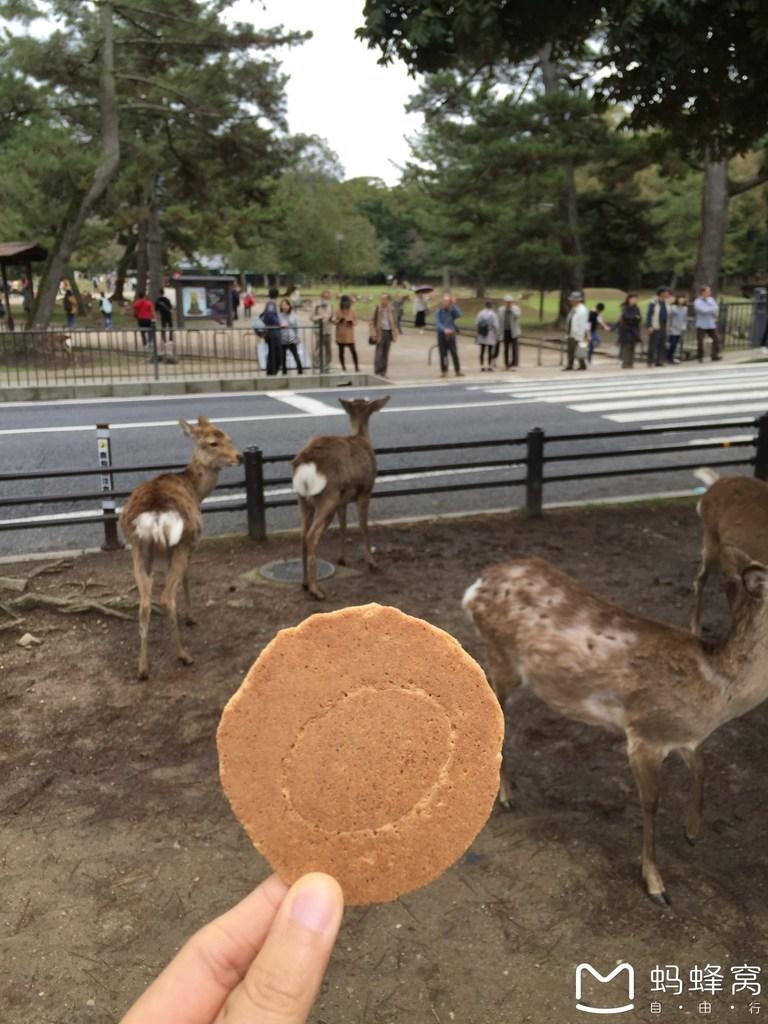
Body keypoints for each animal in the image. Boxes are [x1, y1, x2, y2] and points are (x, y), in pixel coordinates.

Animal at [120, 411, 241, 684]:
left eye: (228, 437)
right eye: (212, 443)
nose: (239, 456)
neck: (197, 490)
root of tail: (155, 515)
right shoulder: (193, 543)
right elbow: (187, 578)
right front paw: (191, 617)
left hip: (138, 549)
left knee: (144, 603)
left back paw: (143, 668)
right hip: (180, 544)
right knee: (166, 598)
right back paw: (184, 655)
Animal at [292, 393, 393, 598]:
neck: (362, 438)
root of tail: (305, 464)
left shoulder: (343, 500)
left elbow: (344, 526)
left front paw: (342, 559)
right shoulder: (365, 490)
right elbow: (363, 525)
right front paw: (371, 562)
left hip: (304, 499)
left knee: (302, 534)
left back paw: (305, 583)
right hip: (327, 496)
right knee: (311, 536)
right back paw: (316, 590)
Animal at [462, 552, 768, 905]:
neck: (714, 695)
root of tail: (475, 588)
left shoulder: (681, 736)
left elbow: (702, 767)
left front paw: (691, 832)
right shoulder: (643, 733)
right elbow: (651, 804)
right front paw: (656, 884)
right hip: (501, 658)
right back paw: (505, 796)